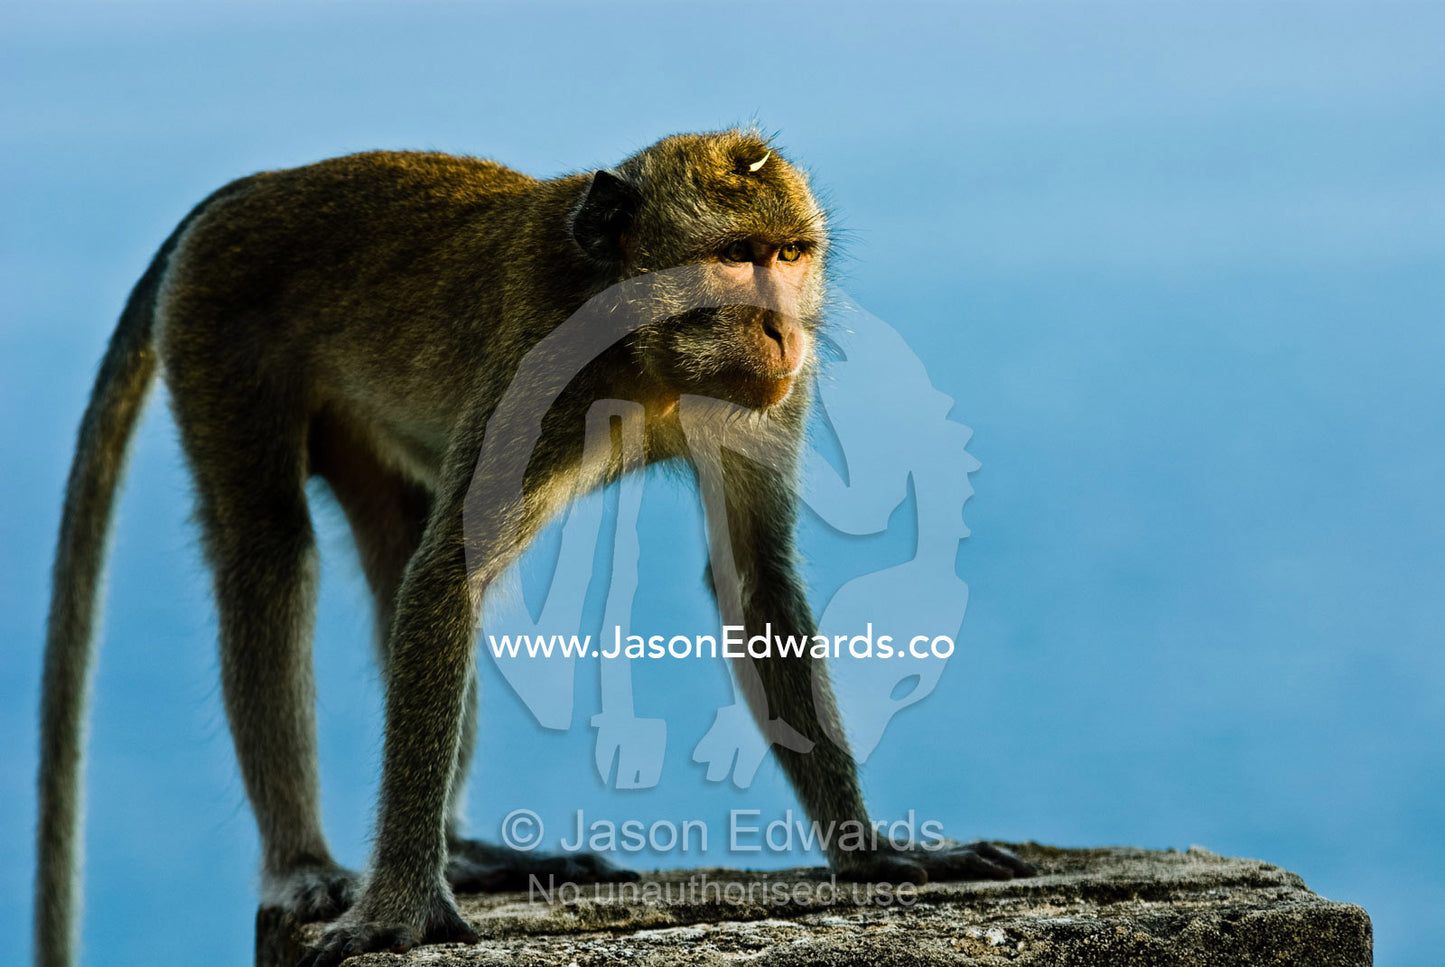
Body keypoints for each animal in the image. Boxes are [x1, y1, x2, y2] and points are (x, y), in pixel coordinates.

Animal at [35, 128, 1035, 967]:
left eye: (789, 257)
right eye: (734, 256)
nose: (783, 328)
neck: (643, 348)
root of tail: (254, 187)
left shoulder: (769, 400)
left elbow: (754, 577)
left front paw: (870, 853)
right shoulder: (540, 373)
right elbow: (449, 573)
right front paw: (400, 909)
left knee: (392, 545)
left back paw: (465, 852)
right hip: (218, 324)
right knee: (272, 553)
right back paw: (309, 863)